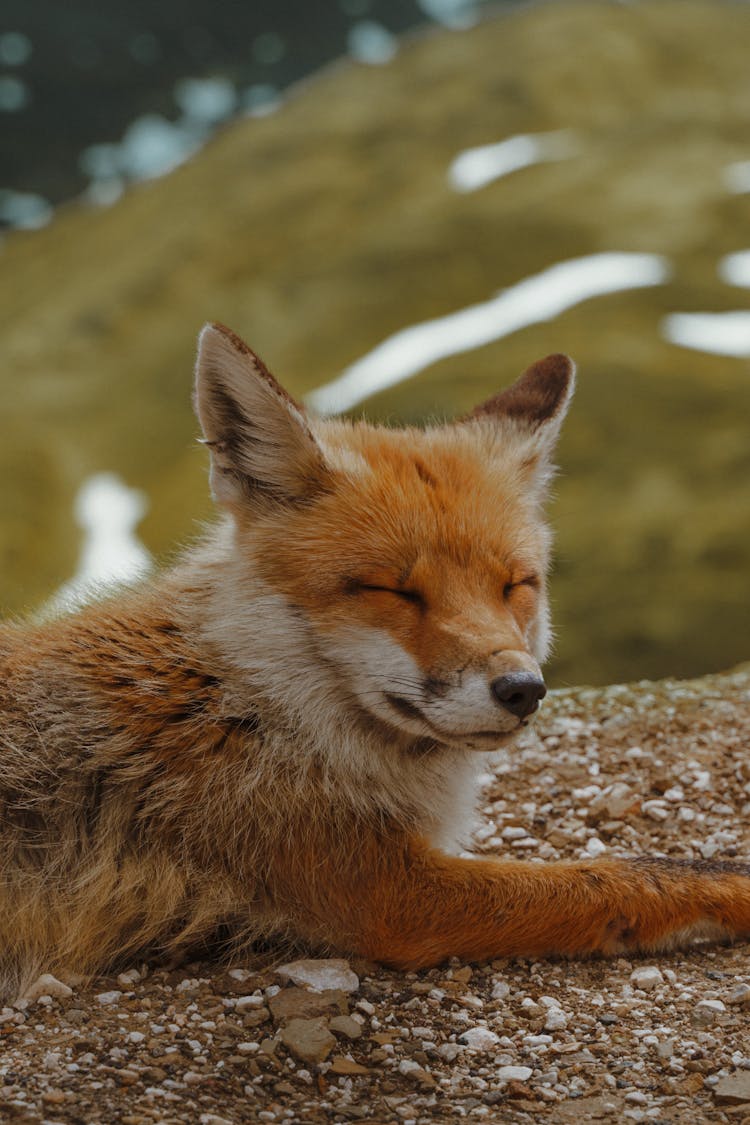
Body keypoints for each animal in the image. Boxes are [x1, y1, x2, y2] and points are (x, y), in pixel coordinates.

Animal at [1, 321, 750, 999]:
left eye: (515, 584)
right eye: (396, 590)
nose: (522, 689)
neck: (246, 701)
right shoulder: (388, 890)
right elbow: (622, 875)